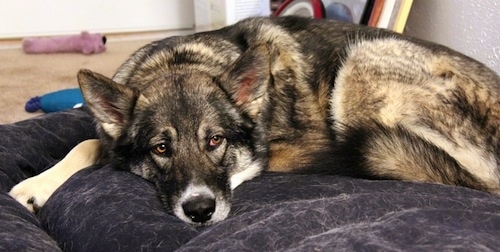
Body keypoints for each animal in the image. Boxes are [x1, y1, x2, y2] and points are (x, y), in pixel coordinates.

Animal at [10, 15, 500, 224]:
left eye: (215, 141)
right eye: (161, 148)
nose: (200, 212)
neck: (180, 60)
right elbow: (87, 142)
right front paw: (36, 185)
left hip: (361, 60)